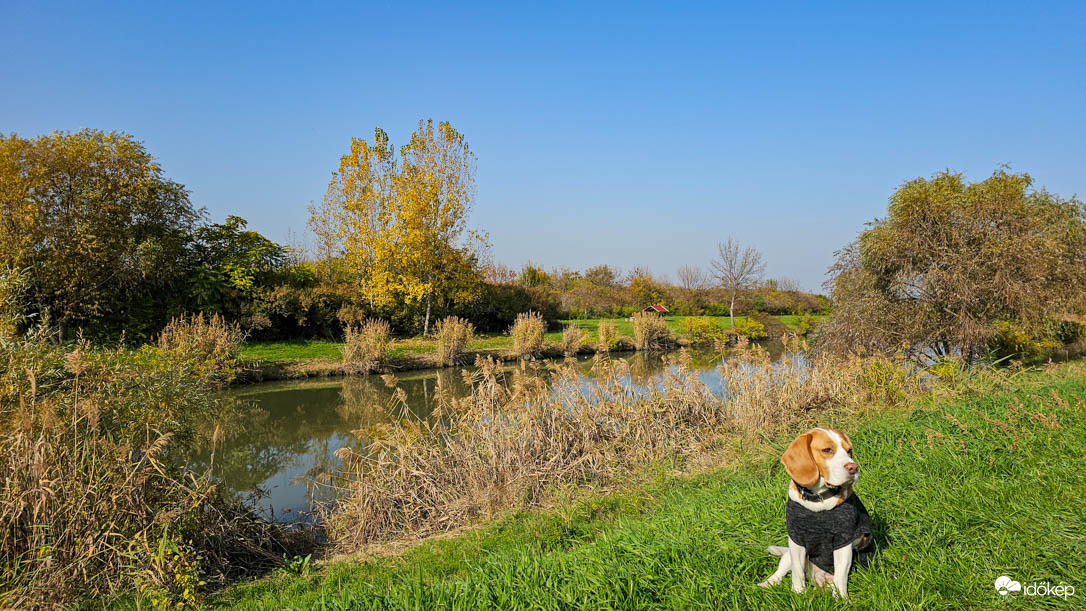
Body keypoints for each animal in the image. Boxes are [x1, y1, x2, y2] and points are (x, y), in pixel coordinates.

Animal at [760, 427, 877, 599]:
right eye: (827, 450)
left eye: (849, 451)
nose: (854, 467)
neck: (819, 499)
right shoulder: (796, 540)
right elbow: (797, 573)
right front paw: (798, 594)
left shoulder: (843, 542)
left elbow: (840, 577)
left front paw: (841, 599)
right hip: (789, 552)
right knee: (782, 570)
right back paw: (766, 584)